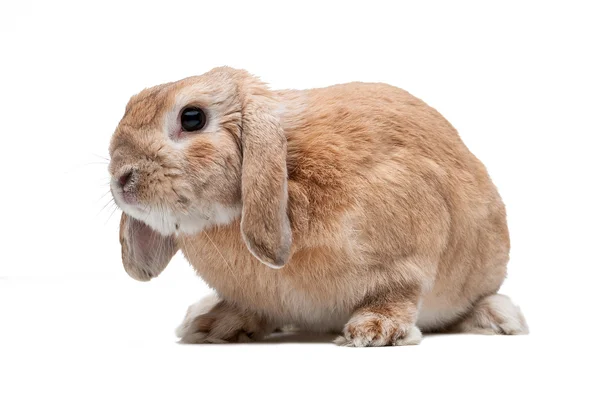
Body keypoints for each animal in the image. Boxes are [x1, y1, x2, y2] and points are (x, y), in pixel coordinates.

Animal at [109, 65, 528, 346]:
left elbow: (398, 292)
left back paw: (500, 318)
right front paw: (214, 325)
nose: (121, 178)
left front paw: (375, 330)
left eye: (192, 117)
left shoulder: (409, 256)